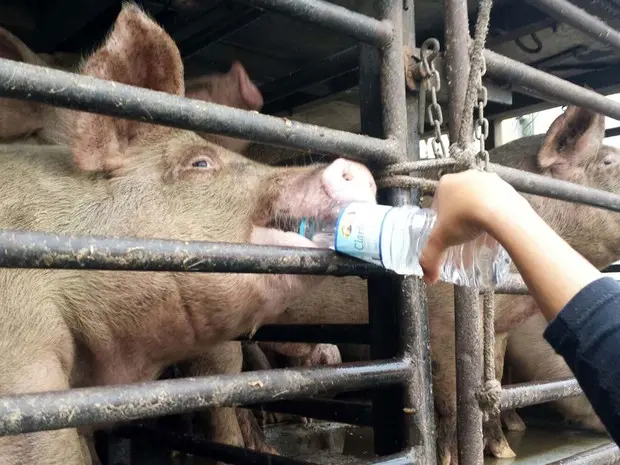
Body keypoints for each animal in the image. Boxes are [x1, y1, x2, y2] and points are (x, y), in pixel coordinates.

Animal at [266, 105, 620, 464]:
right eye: (608, 162)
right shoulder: (442, 323)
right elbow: (450, 395)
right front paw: (452, 458)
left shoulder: (500, 330)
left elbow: (494, 377)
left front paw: (504, 452)